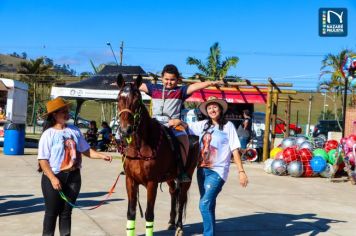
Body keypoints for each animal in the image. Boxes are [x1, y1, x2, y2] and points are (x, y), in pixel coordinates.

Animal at [117, 75, 199, 236]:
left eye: (137, 101)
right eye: (118, 99)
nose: (125, 130)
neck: (140, 146)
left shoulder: (152, 183)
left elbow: (149, 214)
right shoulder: (130, 180)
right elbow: (131, 213)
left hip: (188, 175)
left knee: (182, 197)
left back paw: (179, 227)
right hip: (170, 177)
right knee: (173, 192)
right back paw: (171, 222)